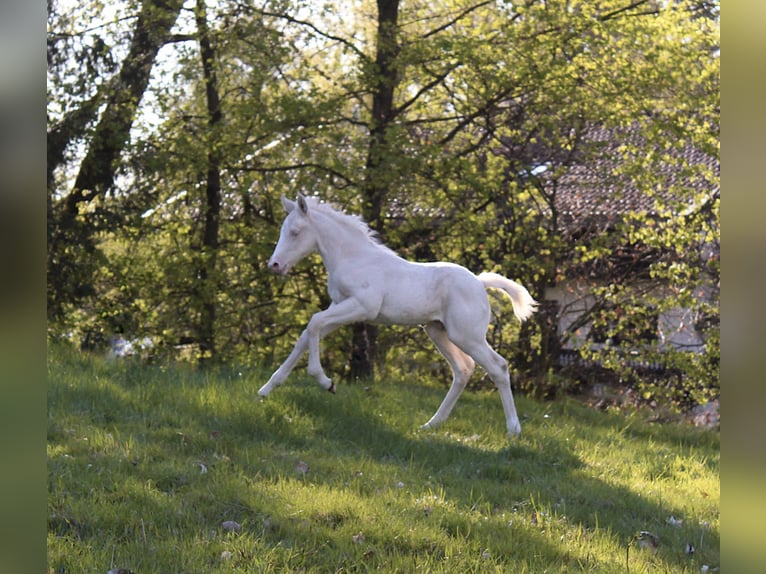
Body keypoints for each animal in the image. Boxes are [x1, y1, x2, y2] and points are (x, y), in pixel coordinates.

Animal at [259, 194, 538, 438]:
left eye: (295, 232)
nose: (274, 265)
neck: (353, 258)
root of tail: (479, 283)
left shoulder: (362, 306)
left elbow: (314, 323)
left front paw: (327, 382)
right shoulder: (339, 306)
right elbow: (307, 334)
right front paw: (266, 390)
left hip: (467, 336)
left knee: (498, 367)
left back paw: (513, 430)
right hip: (438, 330)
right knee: (463, 369)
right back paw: (431, 425)